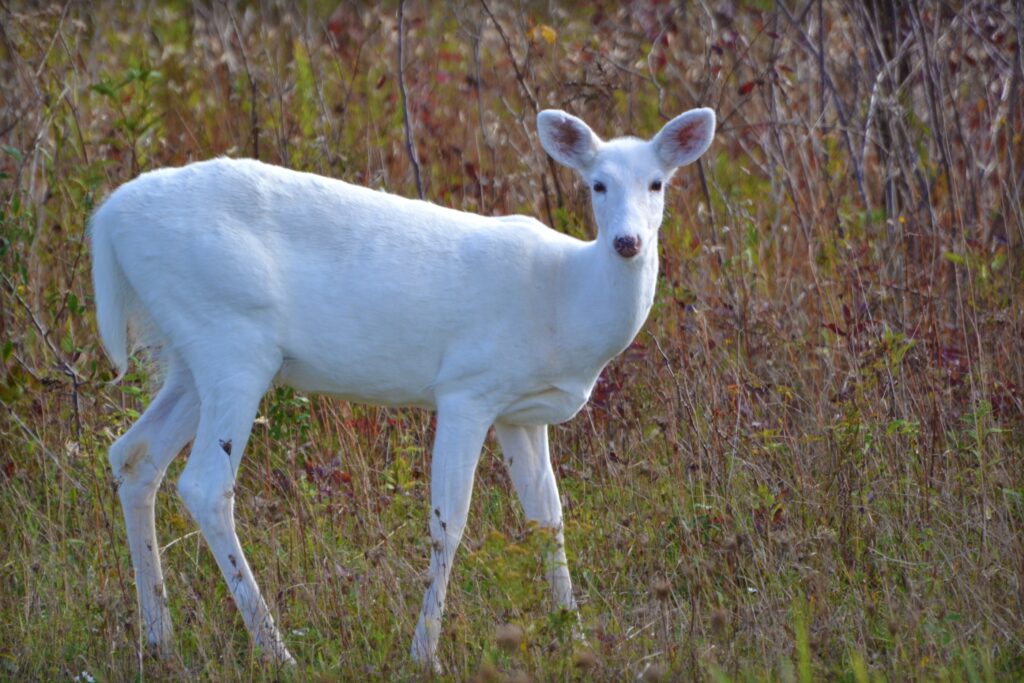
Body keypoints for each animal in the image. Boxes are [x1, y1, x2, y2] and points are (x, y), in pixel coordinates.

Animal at [92, 107, 716, 667]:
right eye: (597, 183)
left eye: (657, 182)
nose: (627, 242)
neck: (566, 301)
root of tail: (108, 219)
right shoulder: (467, 388)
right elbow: (449, 522)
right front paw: (424, 654)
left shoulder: (522, 412)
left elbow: (547, 518)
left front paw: (577, 639)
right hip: (233, 341)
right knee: (203, 485)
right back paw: (276, 651)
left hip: (190, 358)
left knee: (133, 455)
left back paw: (160, 639)